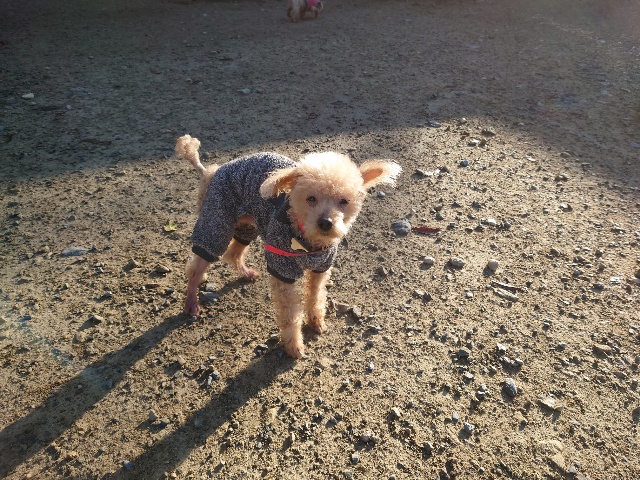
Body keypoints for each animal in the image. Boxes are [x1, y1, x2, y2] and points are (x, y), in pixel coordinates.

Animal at [175, 135, 401, 358]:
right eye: (311, 198)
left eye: (344, 201)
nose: (326, 222)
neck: (309, 242)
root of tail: (211, 172)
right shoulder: (282, 270)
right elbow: (290, 314)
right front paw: (294, 346)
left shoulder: (321, 268)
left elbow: (315, 296)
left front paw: (316, 322)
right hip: (217, 221)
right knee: (196, 267)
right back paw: (191, 302)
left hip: (247, 225)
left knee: (233, 253)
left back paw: (246, 273)